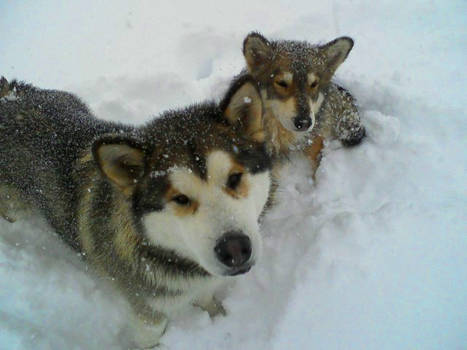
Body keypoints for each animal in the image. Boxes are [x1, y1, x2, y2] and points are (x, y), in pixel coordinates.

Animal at [0, 76, 272, 348]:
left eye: (234, 178)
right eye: (180, 199)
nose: (235, 250)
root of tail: (9, 95)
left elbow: (207, 298)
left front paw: (218, 315)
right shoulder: (147, 311)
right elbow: (151, 335)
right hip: (13, 204)